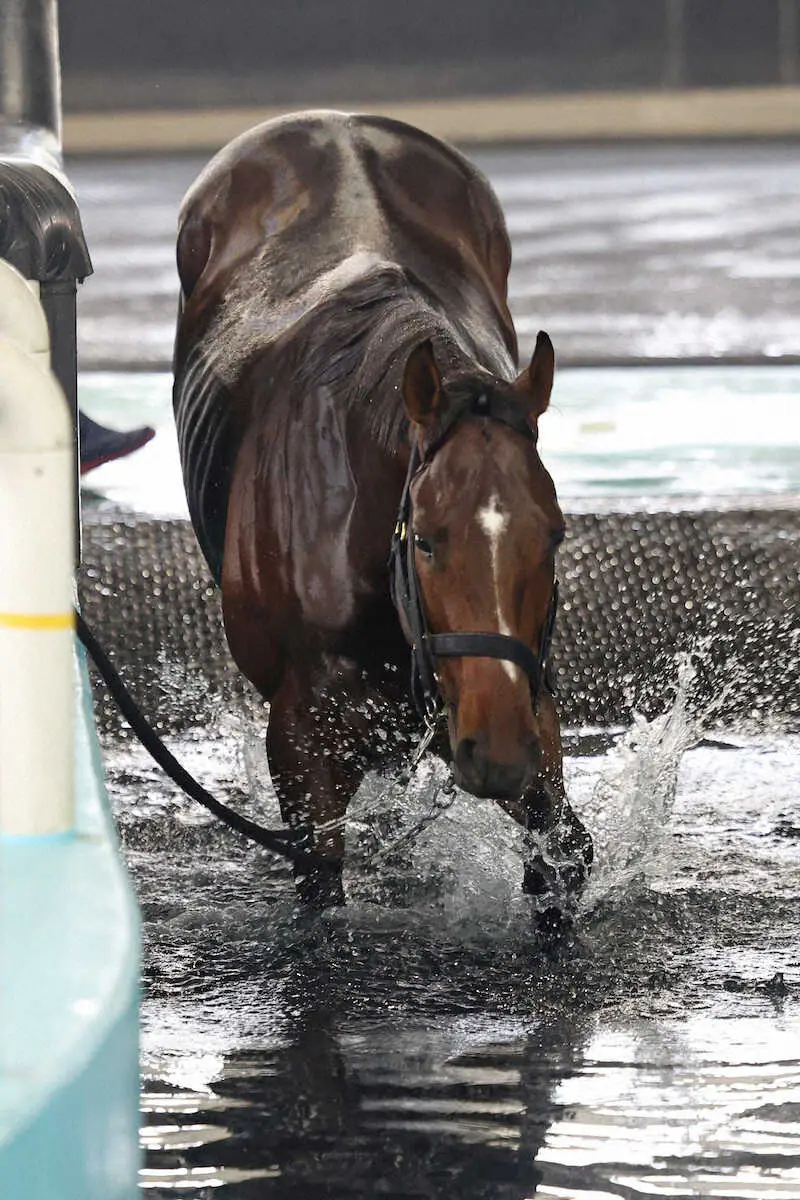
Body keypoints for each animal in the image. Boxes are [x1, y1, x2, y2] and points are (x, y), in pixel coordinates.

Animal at [172, 112, 592, 912]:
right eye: (425, 540)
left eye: (554, 537)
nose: (496, 752)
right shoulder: (302, 740)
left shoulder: (525, 705)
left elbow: (564, 854)